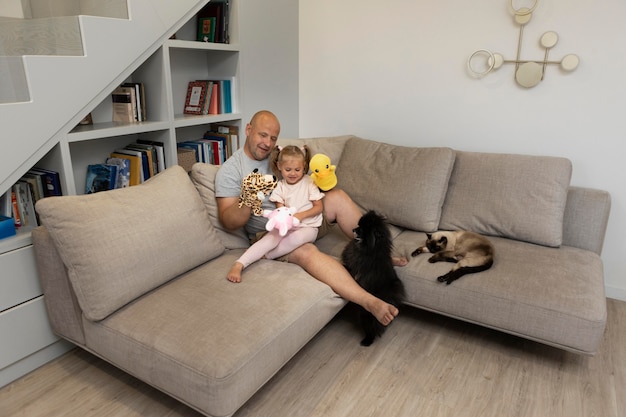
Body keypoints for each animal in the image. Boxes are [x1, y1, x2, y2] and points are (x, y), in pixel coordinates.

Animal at [342, 211, 404, 344]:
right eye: (358, 225)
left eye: (361, 229)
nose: (353, 229)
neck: (373, 250)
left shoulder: (356, 271)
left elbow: (349, 269)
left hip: (366, 314)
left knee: (372, 327)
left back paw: (367, 341)